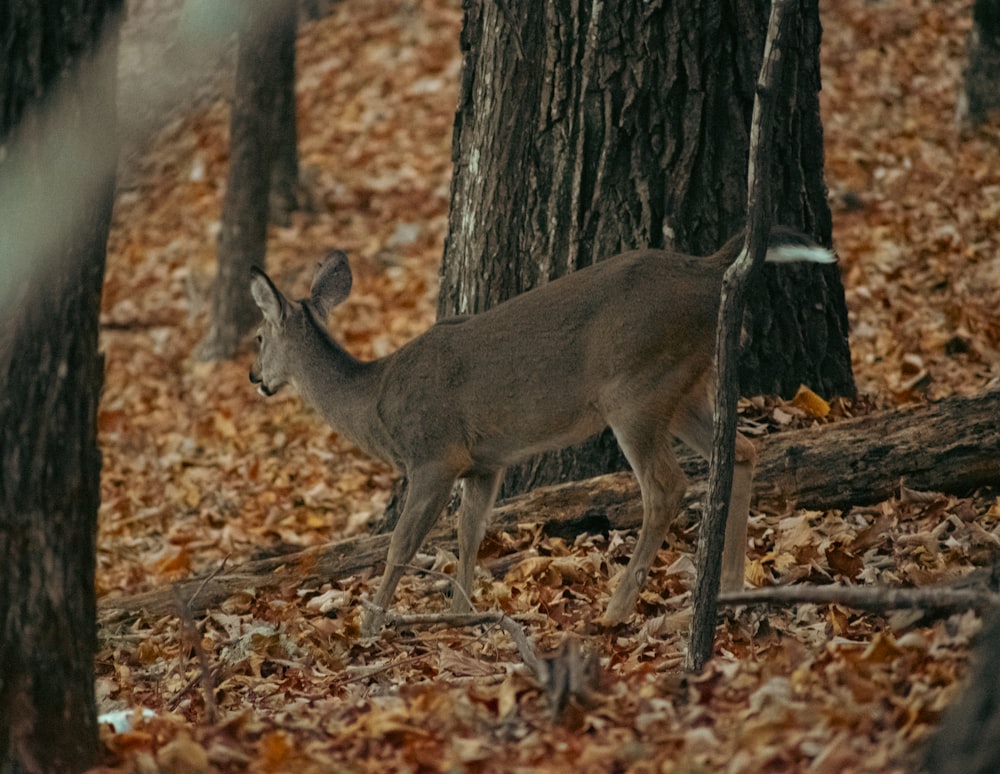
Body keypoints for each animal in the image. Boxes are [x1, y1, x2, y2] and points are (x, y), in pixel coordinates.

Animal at [250, 227, 836, 640]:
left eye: (258, 336)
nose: (256, 378)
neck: (375, 402)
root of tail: (710, 269)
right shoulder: (485, 462)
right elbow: (469, 534)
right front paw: (459, 613)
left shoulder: (434, 454)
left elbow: (401, 543)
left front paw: (371, 625)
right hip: (686, 386)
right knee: (743, 449)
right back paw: (732, 586)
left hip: (636, 388)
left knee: (666, 486)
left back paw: (616, 610)